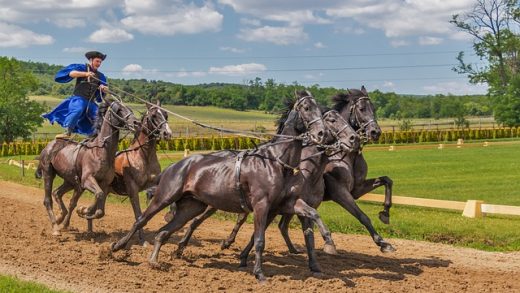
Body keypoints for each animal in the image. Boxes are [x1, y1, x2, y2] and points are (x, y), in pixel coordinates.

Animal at [35, 98, 139, 235]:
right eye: (119, 110)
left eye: (130, 108)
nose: (136, 122)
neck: (100, 151)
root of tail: (48, 146)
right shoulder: (87, 180)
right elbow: (99, 195)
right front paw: (84, 211)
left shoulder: (104, 183)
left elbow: (100, 210)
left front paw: (85, 213)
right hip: (48, 173)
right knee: (48, 200)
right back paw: (56, 227)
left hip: (70, 181)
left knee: (58, 193)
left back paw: (60, 218)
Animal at [109, 99, 173, 243]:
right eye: (154, 115)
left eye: (166, 115)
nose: (167, 134)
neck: (143, 156)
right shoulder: (133, 189)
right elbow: (138, 214)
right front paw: (142, 239)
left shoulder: (153, 184)